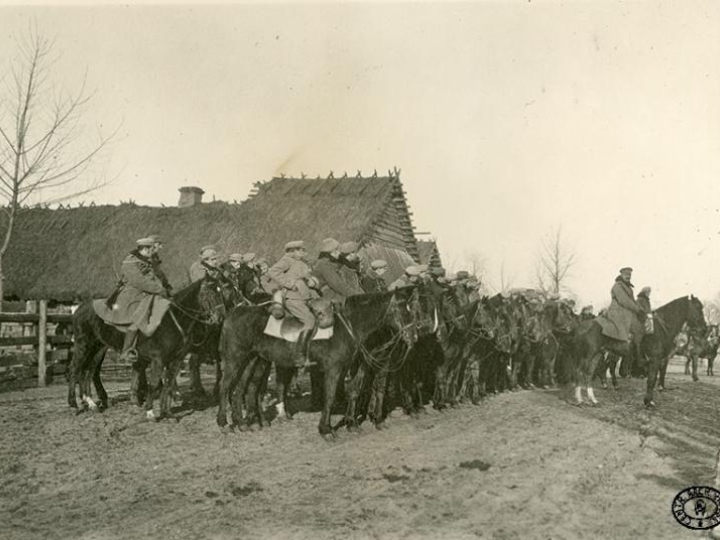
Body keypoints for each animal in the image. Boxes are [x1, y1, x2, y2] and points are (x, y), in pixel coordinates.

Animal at [69, 280, 225, 420]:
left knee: (88, 372)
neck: (174, 320)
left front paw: (167, 412)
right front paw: (150, 412)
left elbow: (168, 384)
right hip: (83, 346)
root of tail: (80, 308)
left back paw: (91, 403)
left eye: (221, 292)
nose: (220, 318)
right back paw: (73, 404)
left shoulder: (176, 360)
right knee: (75, 369)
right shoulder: (158, 359)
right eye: (209, 293)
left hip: (97, 349)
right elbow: (154, 383)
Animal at [217, 288, 416, 436]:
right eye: (399, 310)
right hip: (236, 358)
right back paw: (224, 423)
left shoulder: (351, 367)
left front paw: (352, 424)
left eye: (412, 309)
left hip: (254, 360)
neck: (347, 327)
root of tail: (235, 311)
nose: (413, 337)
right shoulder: (333, 369)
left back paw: (244, 423)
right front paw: (326, 430)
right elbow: (330, 396)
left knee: (243, 389)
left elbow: (354, 391)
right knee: (226, 387)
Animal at [572, 298, 704, 408]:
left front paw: (651, 398)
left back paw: (593, 399)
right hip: (589, 354)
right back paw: (580, 399)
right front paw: (648, 401)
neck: (661, 329)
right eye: (698, 308)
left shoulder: (659, 360)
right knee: (580, 372)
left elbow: (654, 377)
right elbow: (652, 379)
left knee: (590, 373)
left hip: (598, 353)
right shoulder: (655, 359)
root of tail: (584, 325)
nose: (704, 328)